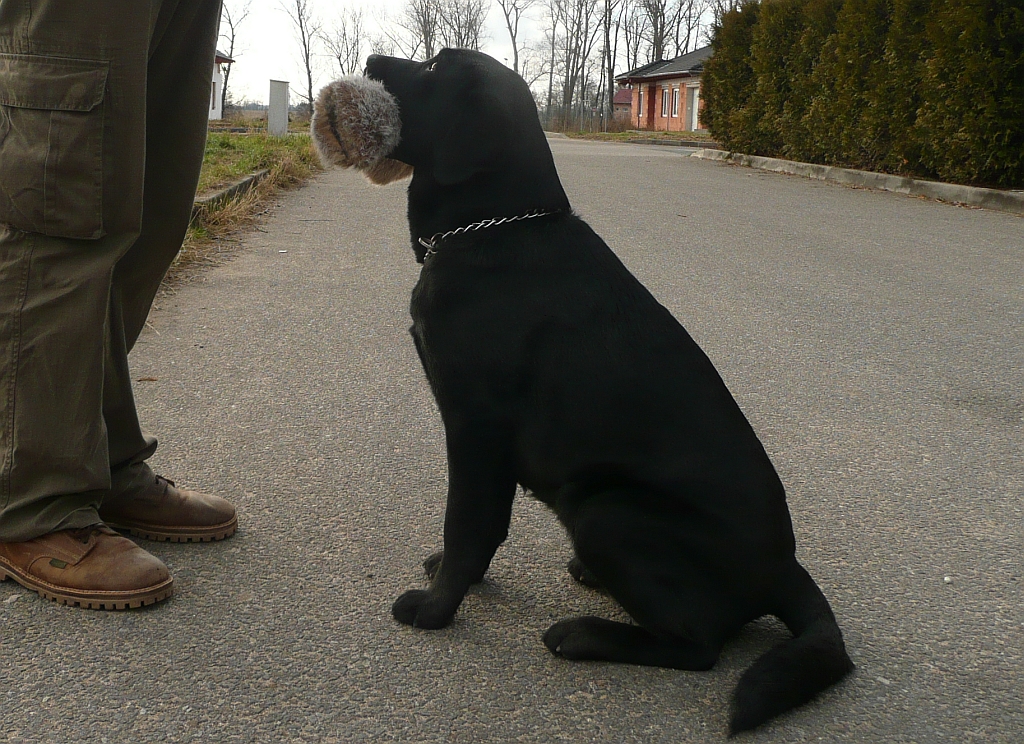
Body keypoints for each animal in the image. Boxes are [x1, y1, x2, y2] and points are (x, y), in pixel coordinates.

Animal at [315, 48, 853, 735]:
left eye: (435, 69)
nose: (371, 59)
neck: (491, 229)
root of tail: (786, 570)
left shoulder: (475, 426)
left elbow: (467, 524)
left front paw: (436, 610)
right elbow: (480, 528)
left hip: (608, 509)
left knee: (700, 645)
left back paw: (582, 634)